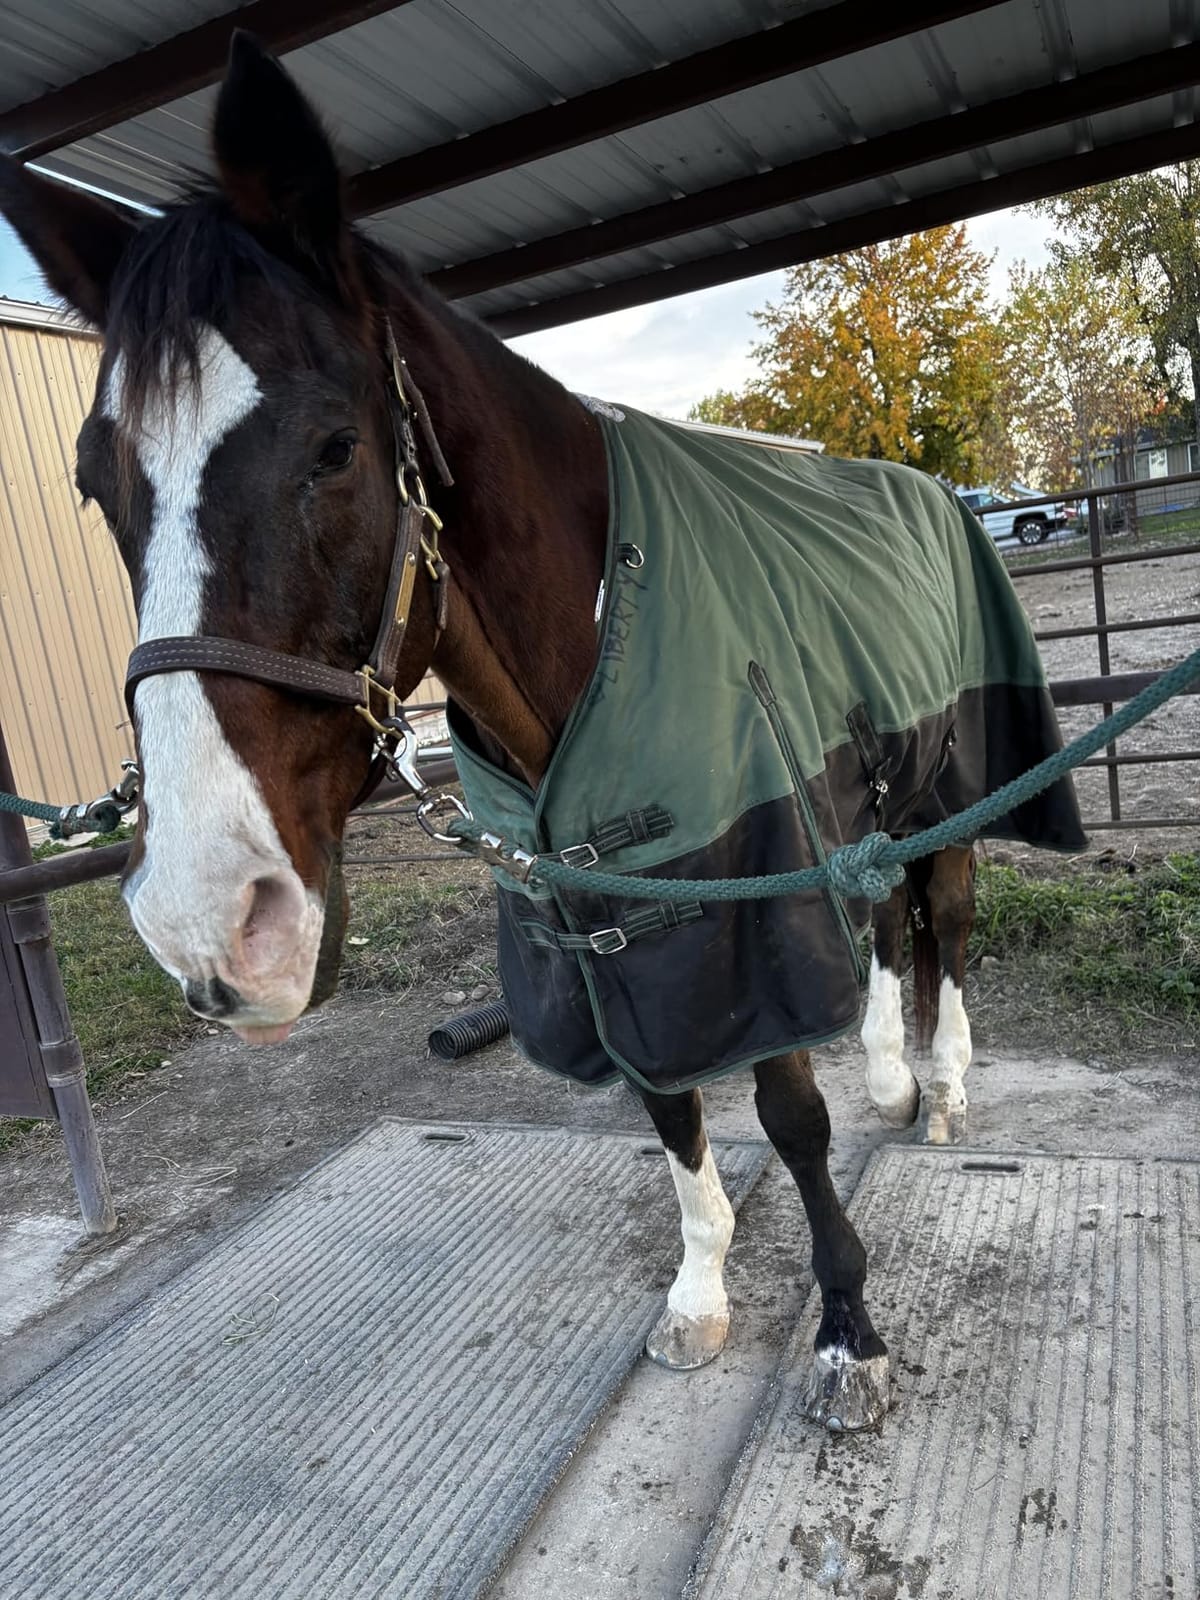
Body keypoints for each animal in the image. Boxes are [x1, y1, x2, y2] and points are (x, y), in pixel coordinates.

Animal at [0, 34, 1083, 1433]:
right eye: (95, 482)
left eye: (336, 448)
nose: (207, 922)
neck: (601, 628)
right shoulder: (597, 919)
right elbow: (666, 1099)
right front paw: (700, 1289)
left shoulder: (734, 901)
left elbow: (788, 1114)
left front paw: (847, 1329)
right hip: (865, 789)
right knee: (893, 918)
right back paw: (897, 1072)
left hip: (949, 773)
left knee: (944, 909)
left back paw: (941, 1086)